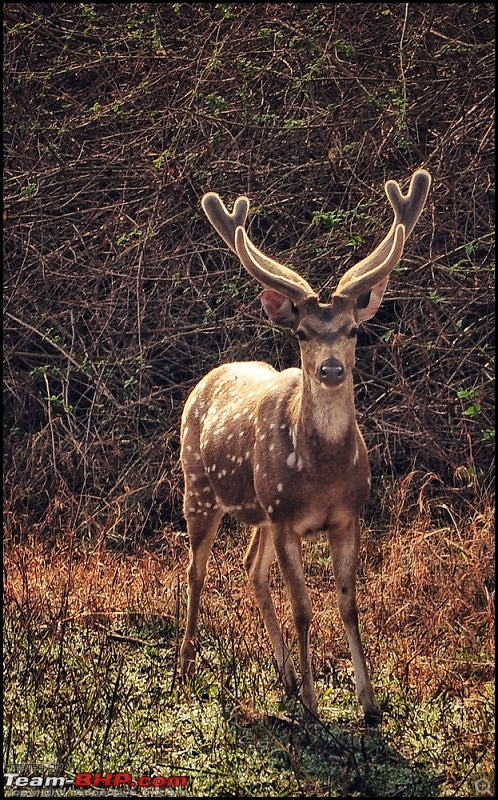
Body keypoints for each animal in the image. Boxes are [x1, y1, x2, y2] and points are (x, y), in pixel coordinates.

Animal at [179, 169, 432, 724]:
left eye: (355, 329)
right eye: (301, 332)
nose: (331, 369)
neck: (323, 473)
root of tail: (207, 379)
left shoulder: (347, 515)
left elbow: (348, 604)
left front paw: (368, 703)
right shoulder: (286, 519)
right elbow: (303, 608)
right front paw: (317, 706)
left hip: (258, 510)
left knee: (250, 570)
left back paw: (287, 679)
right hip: (199, 486)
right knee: (196, 571)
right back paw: (186, 668)